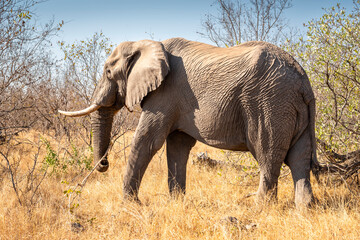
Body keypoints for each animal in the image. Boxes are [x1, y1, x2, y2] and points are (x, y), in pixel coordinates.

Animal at [59, 38, 318, 208]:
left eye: (108, 72)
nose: (104, 164)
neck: (145, 44)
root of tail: (303, 81)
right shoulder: (177, 102)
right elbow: (177, 146)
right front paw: (176, 203)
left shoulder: (165, 94)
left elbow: (147, 141)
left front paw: (130, 205)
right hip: (289, 107)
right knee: (299, 157)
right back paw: (305, 209)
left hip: (269, 103)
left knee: (268, 156)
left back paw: (260, 208)